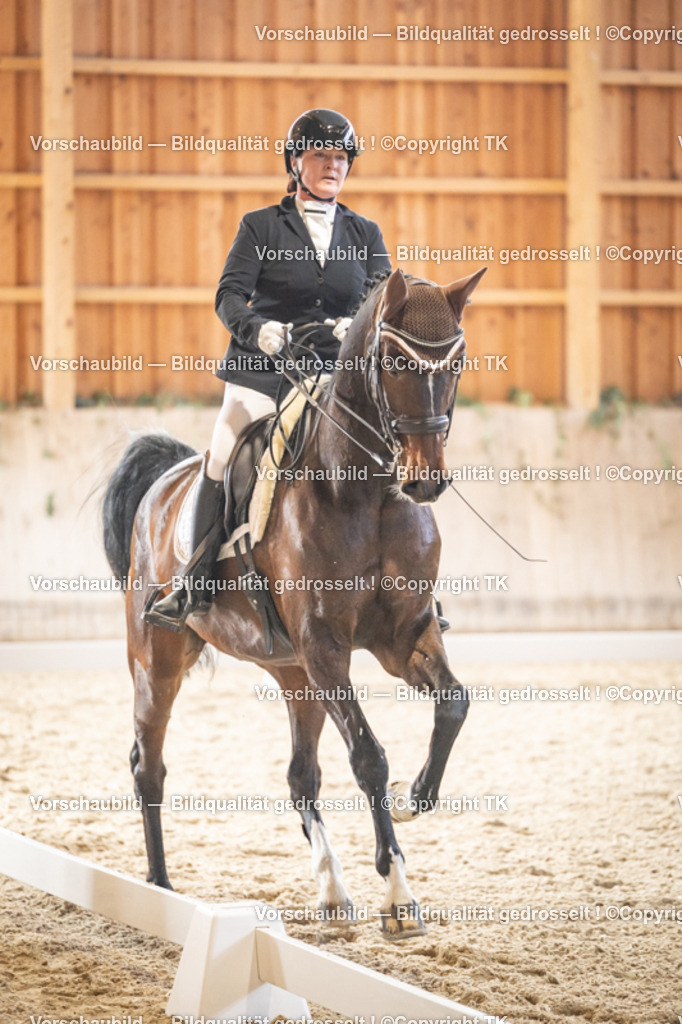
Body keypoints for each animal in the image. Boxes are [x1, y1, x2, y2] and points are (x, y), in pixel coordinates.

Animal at [102, 266, 486, 940]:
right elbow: (369, 756)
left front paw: (416, 799)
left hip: (295, 674)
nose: (425, 480)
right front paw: (398, 894)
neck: (367, 494)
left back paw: (332, 891)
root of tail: (165, 481)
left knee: (301, 776)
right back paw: (160, 889)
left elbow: (454, 704)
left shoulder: (405, 636)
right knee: (149, 764)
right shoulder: (327, 646)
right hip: (159, 660)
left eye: (457, 362)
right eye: (393, 360)